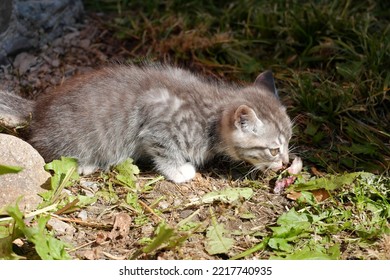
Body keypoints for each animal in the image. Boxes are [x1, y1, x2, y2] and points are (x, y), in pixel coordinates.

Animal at [0, 64, 290, 183]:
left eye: (289, 142)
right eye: (273, 150)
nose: (287, 162)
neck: (211, 114)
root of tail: (38, 108)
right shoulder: (157, 126)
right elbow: (166, 154)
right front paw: (180, 172)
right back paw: (85, 164)